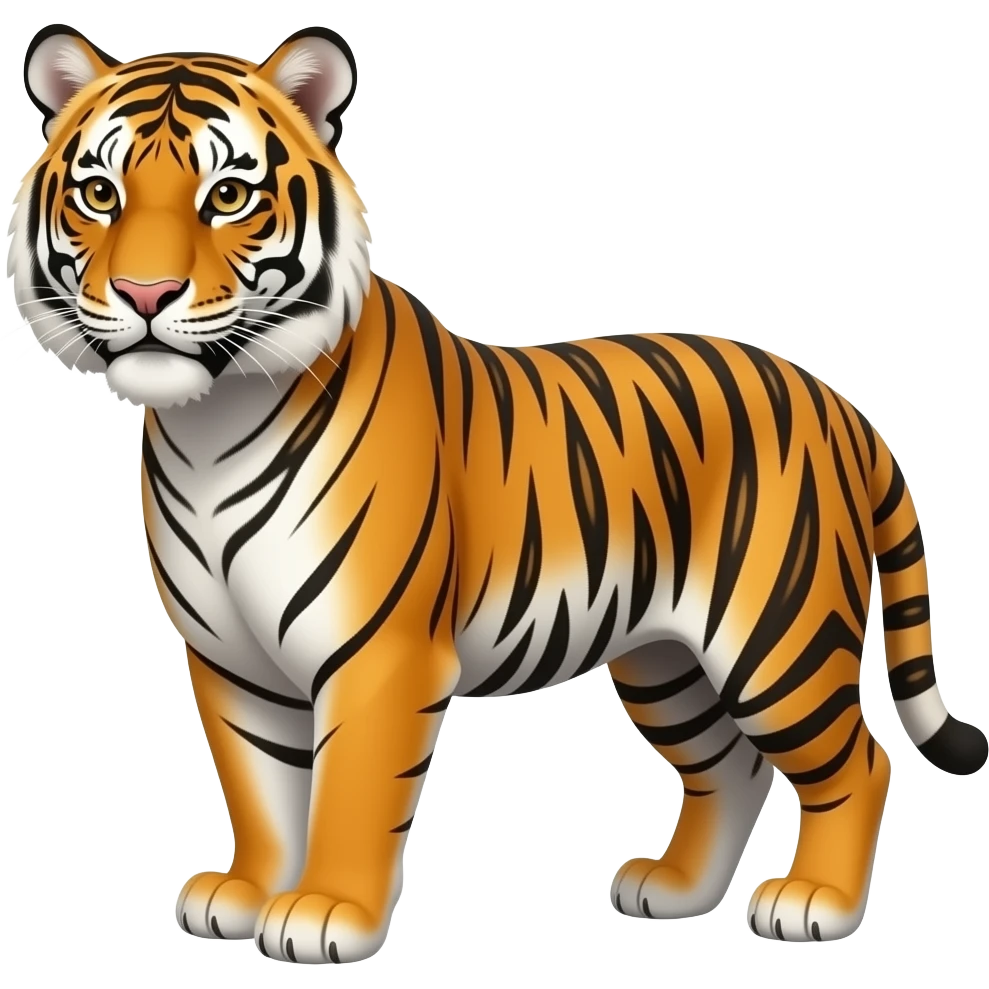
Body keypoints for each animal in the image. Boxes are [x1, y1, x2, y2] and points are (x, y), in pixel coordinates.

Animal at [7, 22, 982, 965]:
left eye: (229, 196)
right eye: (100, 193)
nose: (144, 292)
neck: (210, 422)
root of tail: (835, 401)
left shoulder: (378, 652)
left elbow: (350, 789)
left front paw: (324, 912)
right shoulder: (230, 660)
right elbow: (259, 786)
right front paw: (246, 891)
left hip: (776, 634)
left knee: (858, 762)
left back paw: (814, 903)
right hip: (664, 657)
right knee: (728, 765)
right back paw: (673, 888)